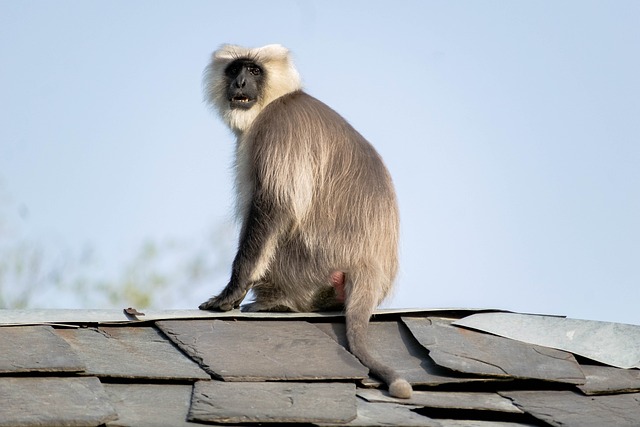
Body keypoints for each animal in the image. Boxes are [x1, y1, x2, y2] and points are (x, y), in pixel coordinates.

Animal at [198, 45, 412, 400]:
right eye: (235, 70)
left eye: (254, 71)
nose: (240, 82)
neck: (278, 99)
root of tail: (367, 267)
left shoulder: (279, 127)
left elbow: (275, 204)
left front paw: (231, 293)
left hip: (312, 267)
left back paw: (277, 303)